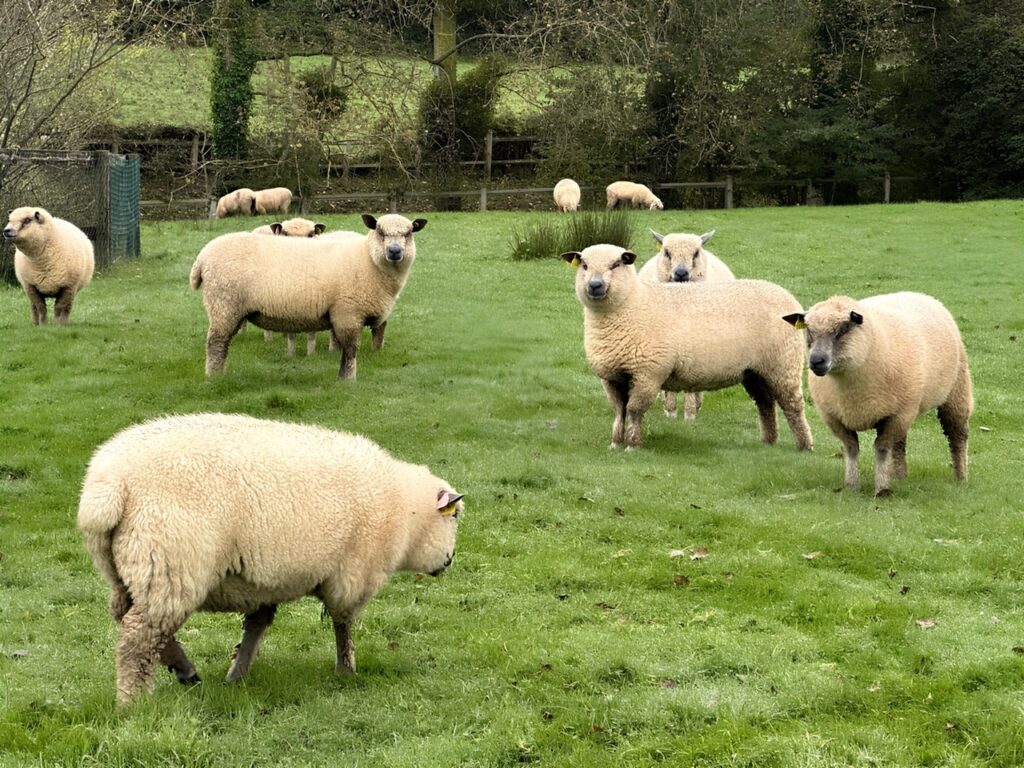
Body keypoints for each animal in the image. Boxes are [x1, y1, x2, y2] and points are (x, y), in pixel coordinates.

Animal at [77, 412, 464, 703]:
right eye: (455, 517)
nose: (449, 561)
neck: (404, 511)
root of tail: (108, 487)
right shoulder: (351, 575)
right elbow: (343, 625)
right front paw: (347, 670)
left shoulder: (262, 581)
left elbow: (257, 625)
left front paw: (238, 673)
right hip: (171, 565)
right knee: (137, 638)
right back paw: (133, 701)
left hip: (128, 569)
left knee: (128, 617)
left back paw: (184, 670)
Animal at [251, 218, 329, 355]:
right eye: (285, 234)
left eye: (311, 235)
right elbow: (291, 335)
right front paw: (291, 354)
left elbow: (311, 334)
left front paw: (311, 354)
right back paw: (268, 339)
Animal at [783, 292, 973, 497]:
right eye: (809, 330)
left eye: (843, 329)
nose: (816, 361)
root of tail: (919, 294)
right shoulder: (833, 416)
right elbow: (851, 448)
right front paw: (852, 486)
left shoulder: (898, 414)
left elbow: (881, 448)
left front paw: (882, 489)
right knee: (900, 443)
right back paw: (899, 475)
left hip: (955, 390)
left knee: (957, 436)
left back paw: (961, 477)